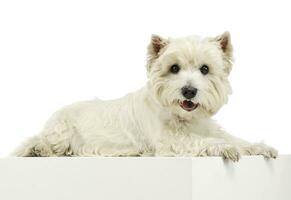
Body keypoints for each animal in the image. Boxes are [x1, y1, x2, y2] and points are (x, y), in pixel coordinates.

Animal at [13, 32, 278, 161]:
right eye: (174, 68)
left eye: (205, 69)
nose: (189, 91)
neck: (183, 118)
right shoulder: (168, 141)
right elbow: (201, 142)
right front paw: (226, 149)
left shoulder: (208, 127)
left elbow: (234, 138)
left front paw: (260, 147)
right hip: (61, 131)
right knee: (40, 142)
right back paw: (37, 150)